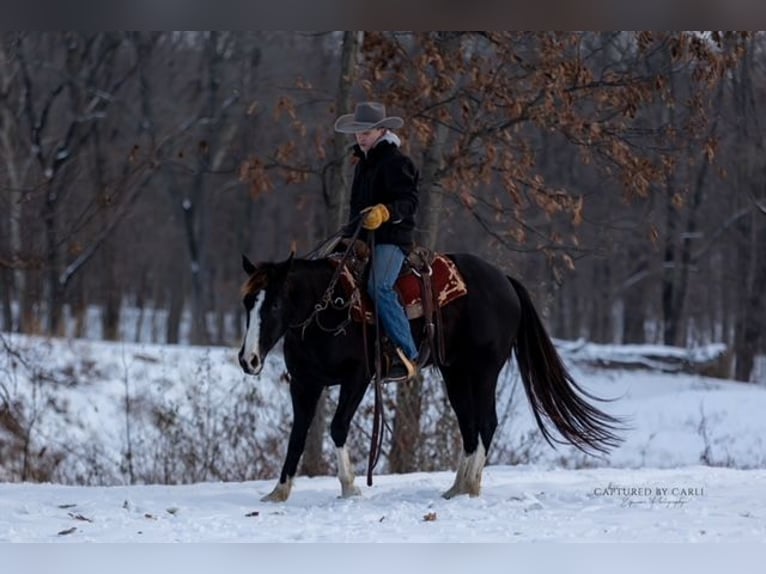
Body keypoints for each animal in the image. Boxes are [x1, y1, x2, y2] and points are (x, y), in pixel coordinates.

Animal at [238, 250, 623, 502]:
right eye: (247, 304)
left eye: (274, 304)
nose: (248, 359)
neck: (331, 310)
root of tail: (505, 281)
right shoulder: (304, 384)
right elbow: (297, 435)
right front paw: (278, 491)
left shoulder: (357, 378)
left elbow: (337, 428)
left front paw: (349, 486)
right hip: (455, 374)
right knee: (469, 425)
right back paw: (457, 487)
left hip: (484, 370)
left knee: (486, 422)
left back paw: (472, 486)